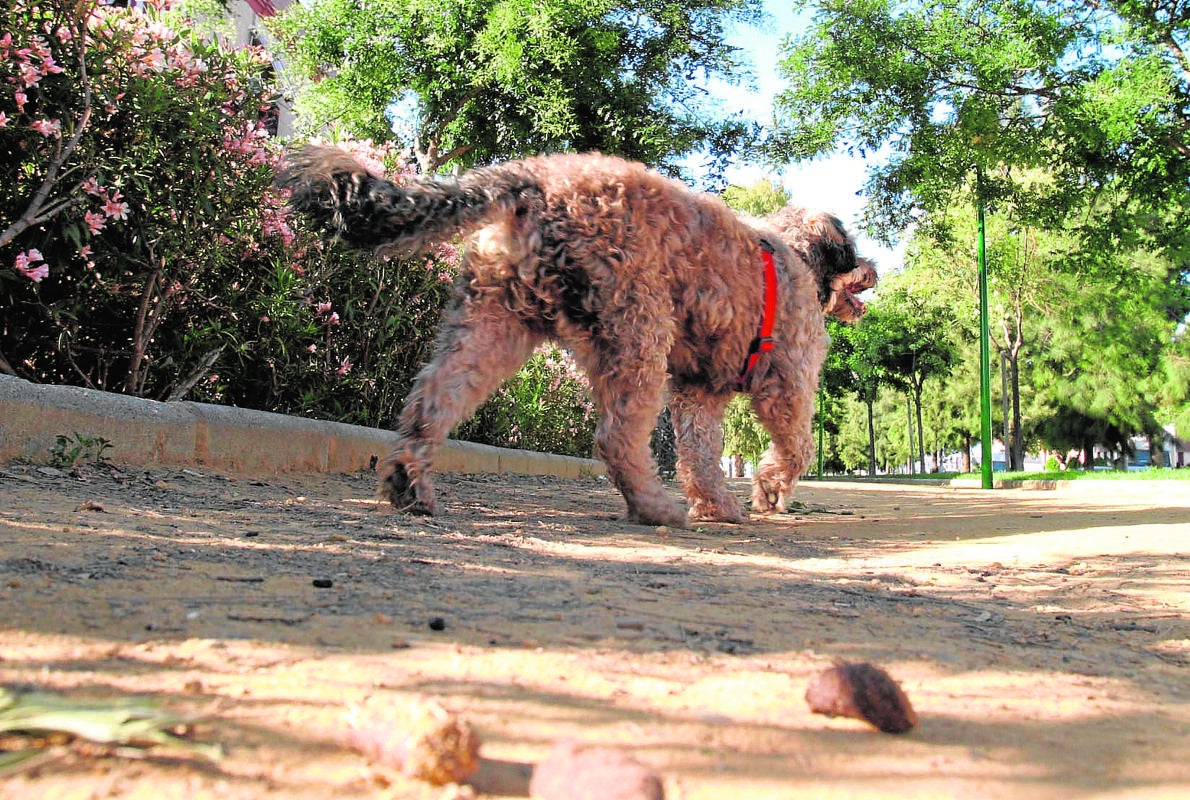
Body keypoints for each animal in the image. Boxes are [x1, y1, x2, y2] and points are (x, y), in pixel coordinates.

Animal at [278, 147, 875, 528]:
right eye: (853, 251)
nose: (873, 271)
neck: (793, 257)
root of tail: (534, 179)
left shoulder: (699, 393)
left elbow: (701, 457)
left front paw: (716, 507)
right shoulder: (788, 382)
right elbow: (797, 446)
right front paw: (769, 491)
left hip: (491, 326)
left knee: (429, 404)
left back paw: (410, 485)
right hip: (637, 333)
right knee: (616, 438)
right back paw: (653, 508)